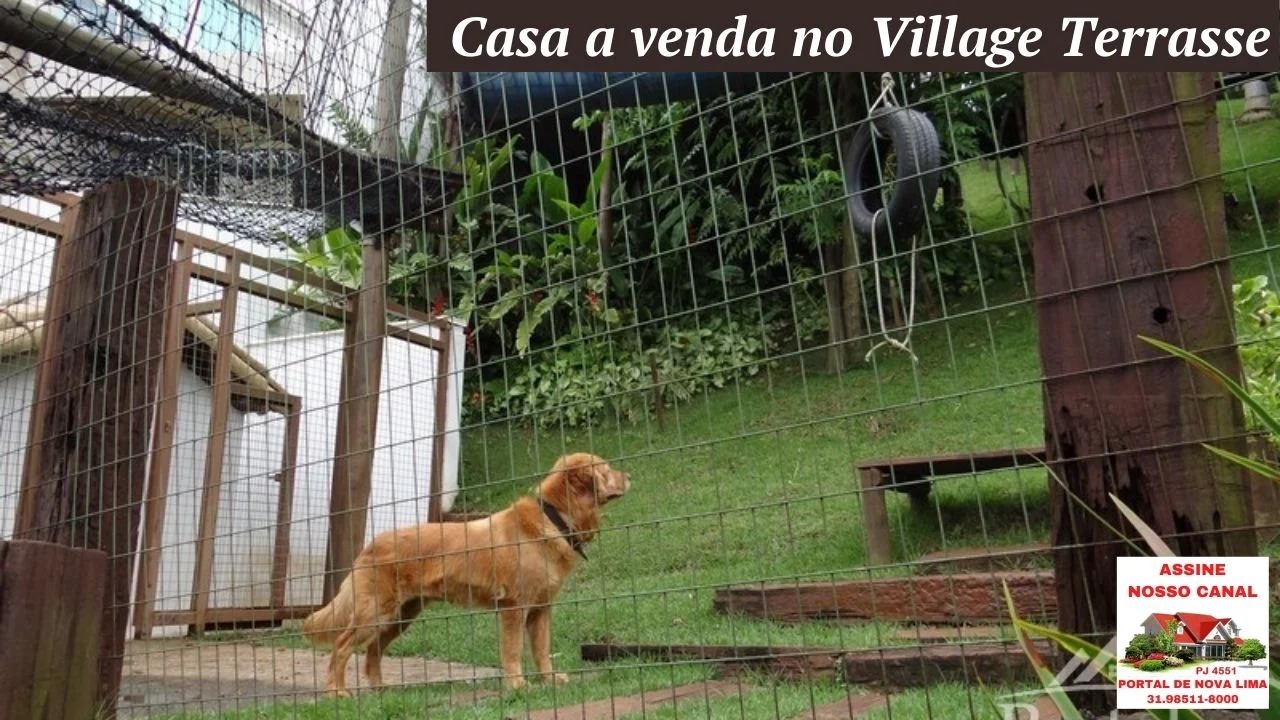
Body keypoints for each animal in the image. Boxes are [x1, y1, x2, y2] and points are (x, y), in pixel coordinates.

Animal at [299, 450, 629, 691]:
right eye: (606, 469)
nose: (629, 475)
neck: (553, 518)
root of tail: (369, 546)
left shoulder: (540, 610)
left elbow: (541, 651)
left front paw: (550, 680)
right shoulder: (513, 608)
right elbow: (512, 651)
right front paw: (518, 685)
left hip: (401, 615)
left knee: (373, 650)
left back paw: (380, 690)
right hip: (375, 613)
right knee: (342, 647)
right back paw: (337, 692)